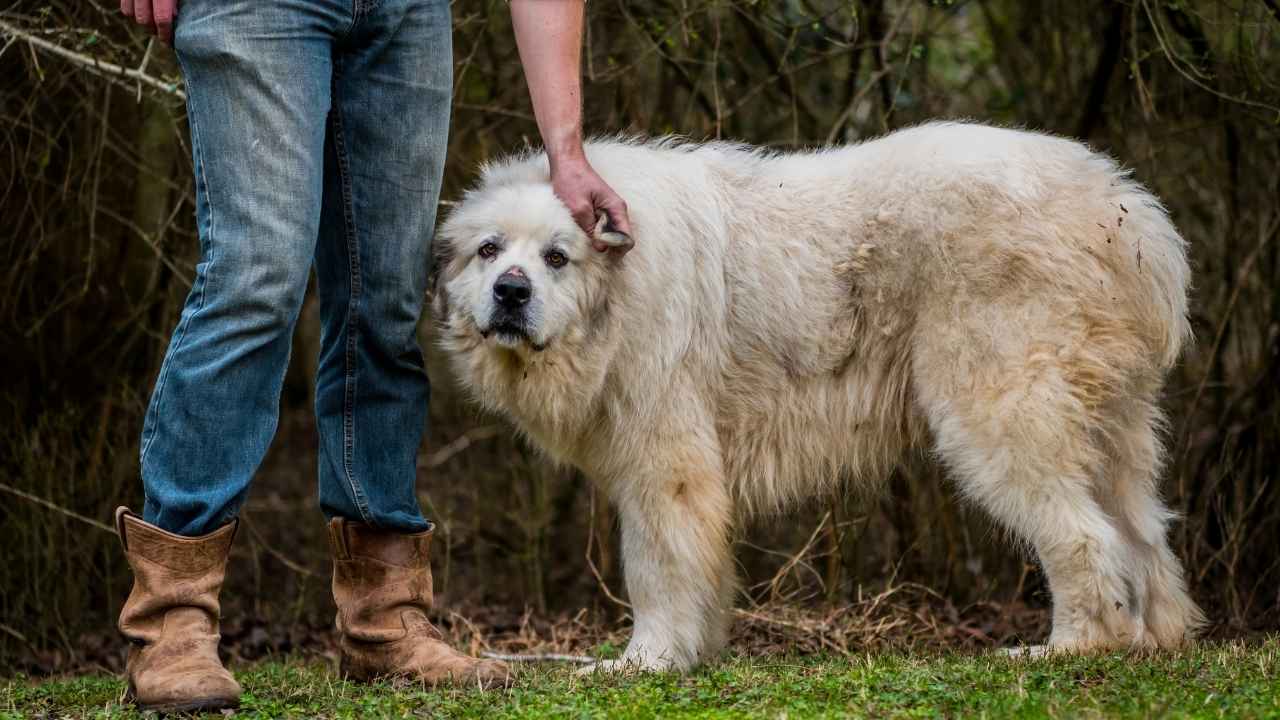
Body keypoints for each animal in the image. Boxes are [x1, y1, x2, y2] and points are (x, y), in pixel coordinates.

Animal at [435, 121, 1203, 666]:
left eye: (556, 257)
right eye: (488, 250)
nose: (511, 292)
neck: (615, 295)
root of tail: (1128, 212)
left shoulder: (666, 465)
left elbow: (657, 567)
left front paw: (645, 661)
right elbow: (701, 569)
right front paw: (695, 651)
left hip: (995, 415)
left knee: (1083, 537)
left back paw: (1068, 648)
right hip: (1112, 428)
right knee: (1142, 536)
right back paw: (1155, 640)